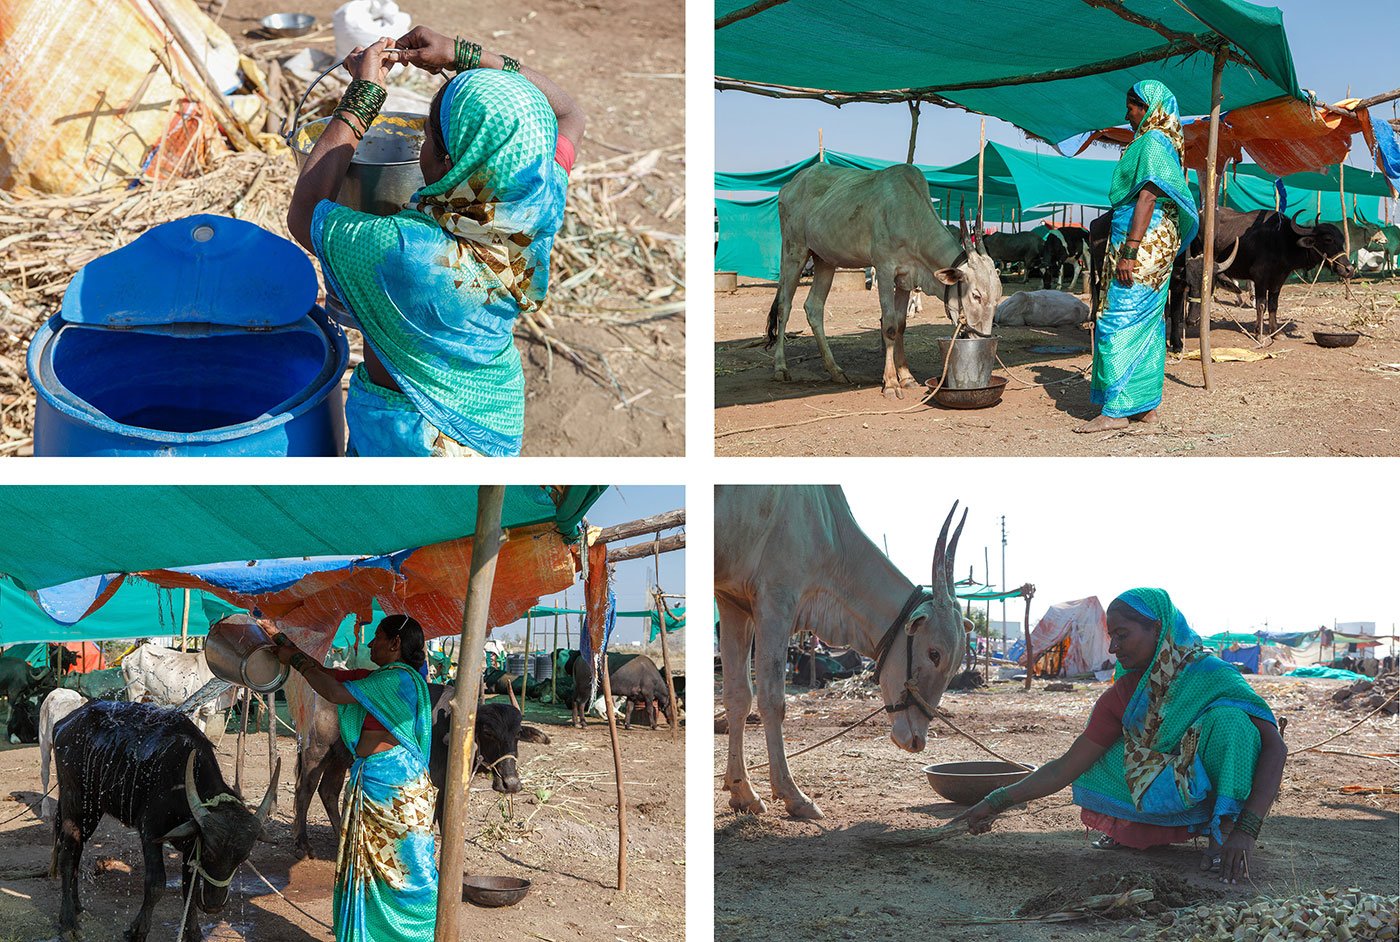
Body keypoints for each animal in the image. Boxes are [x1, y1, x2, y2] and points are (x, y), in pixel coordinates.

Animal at [53, 702, 275, 935]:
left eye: (243, 857)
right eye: (209, 853)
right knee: (67, 855)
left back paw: (77, 905)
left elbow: (190, 889)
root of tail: (65, 724)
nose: (214, 906)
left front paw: (193, 933)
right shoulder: (150, 831)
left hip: (92, 812)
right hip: (74, 803)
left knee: (77, 850)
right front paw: (137, 930)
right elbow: (156, 883)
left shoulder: (191, 844)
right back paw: (67, 921)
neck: (181, 780)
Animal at [292, 685, 548, 856]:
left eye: (517, 734)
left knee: (328, 791)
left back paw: (338, 838)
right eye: (488, 732)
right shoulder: (438, 783)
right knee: (305, 790)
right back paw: (303, 843)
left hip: (339, 757)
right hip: (316, 752)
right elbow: (437, 819)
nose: (511, 783)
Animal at [716, 484, 968, 817]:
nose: (917, 741)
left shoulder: (733, 602)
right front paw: (793, 795)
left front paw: (742, 791)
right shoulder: (775, 601)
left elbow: (738, 697)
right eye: (934, 654)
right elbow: (772, 700)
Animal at [767, 161, 1008, 397]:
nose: (984, 339)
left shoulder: (905, 278)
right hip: (794, 251)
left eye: (998, 298)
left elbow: (901, 324)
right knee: (784, 306)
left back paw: (835, 370)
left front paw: (907, 377)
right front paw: (891, 383)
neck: (910, 216)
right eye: (976, 295)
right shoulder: (884, 269)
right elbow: (890, 325)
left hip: (825, 259)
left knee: (814, 307)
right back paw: (780, 368)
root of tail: (791, 184)